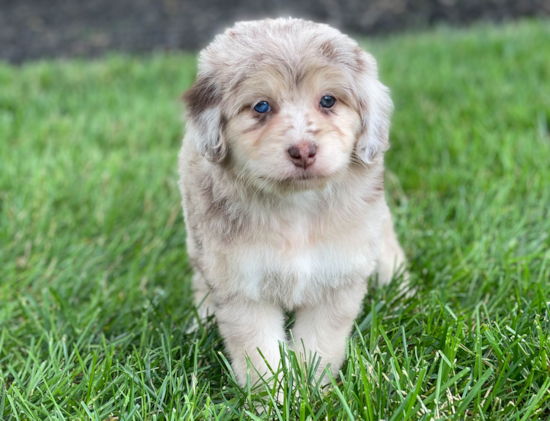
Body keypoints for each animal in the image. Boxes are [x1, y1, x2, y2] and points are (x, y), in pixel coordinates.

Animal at [179, 18, 408, 388]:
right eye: (261, 106)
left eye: (328, 100)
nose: (303, 151)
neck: (297, 206)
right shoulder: (243, 285)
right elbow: (260, 354)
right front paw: (274, 396)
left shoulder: (337, 278)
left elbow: (320, 345)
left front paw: (312, 387)